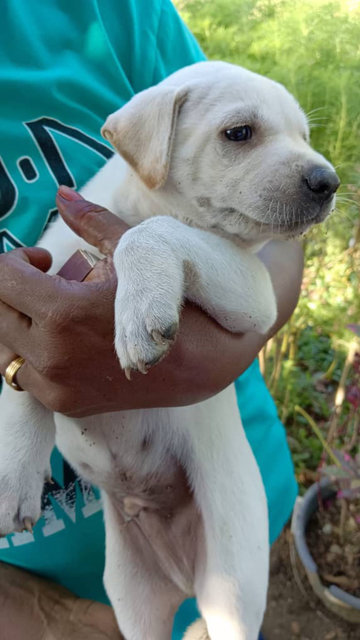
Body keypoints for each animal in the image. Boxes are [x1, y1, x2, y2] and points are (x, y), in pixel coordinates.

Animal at [0, 61, 338, 640]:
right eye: (239, 133)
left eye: (305, 137)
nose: (329, 181)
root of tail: (183, 576)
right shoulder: (35, 294)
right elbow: (21, 388)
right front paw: (14, 477)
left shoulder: (252, 289)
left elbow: (154, 232)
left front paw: (139, 311)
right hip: (134, 599)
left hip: (233, 591)